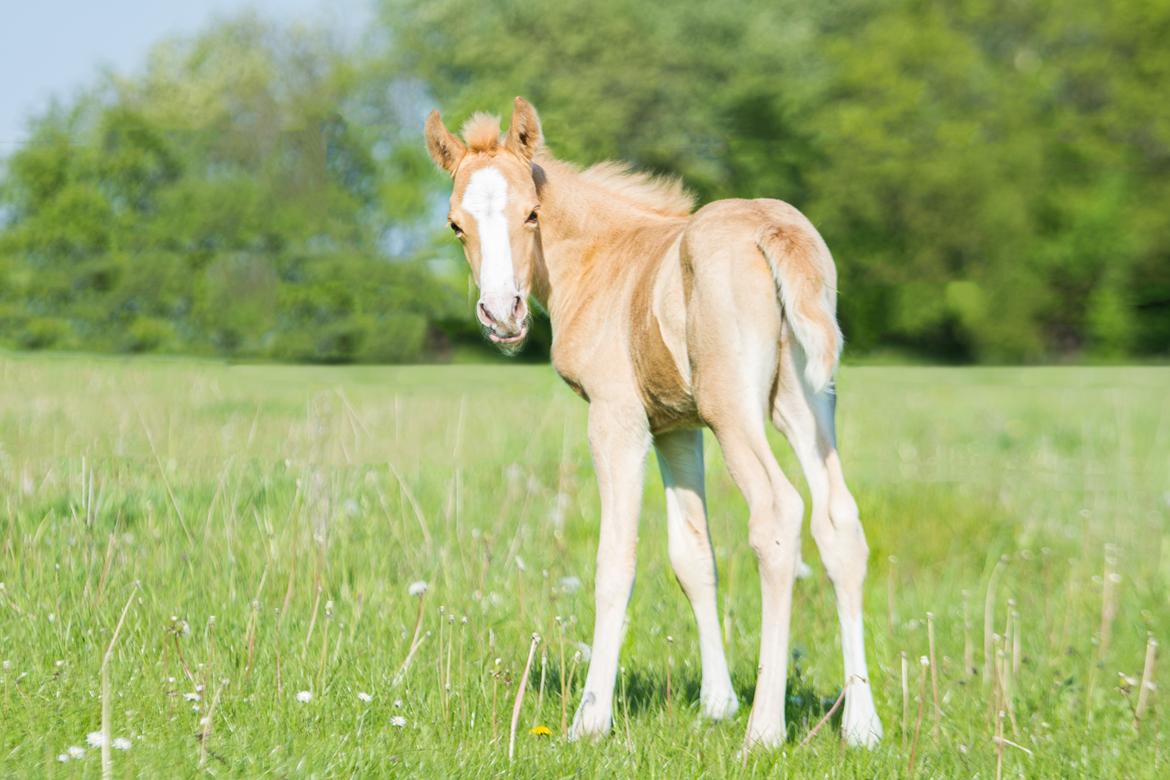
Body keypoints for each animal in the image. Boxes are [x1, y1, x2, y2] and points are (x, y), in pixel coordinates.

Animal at [425, 97, 879, 748]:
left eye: (532, 214)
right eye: (455, 224)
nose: (501, 315)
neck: (601, 263)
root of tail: (773, 230)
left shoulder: (618, 420)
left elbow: (616, 561)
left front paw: (590, 718)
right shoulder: (676, 427)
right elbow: (694, 557)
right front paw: (717, 703)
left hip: (733, 410)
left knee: (778, 514)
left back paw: (765, 731)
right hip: (808, 402)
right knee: (839, 520)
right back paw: (862, 724)